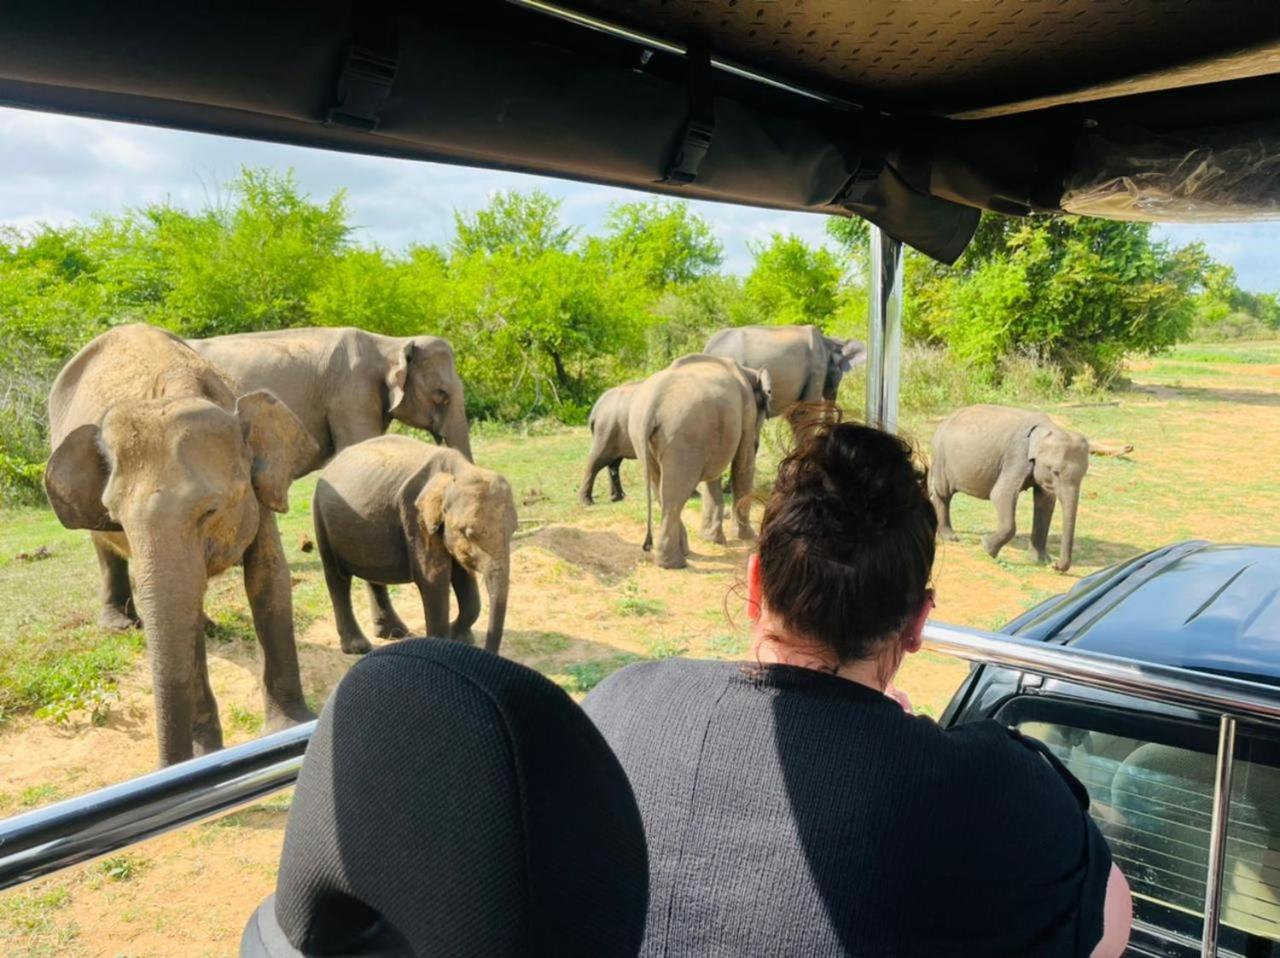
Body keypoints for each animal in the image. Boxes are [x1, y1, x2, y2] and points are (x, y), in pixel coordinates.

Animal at [45, 325, 317, 768]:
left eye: (211, 510)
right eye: (117, 517)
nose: (169, 766)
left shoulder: (259, 493)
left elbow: (268, 578)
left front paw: (290, 726)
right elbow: (182, 614)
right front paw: (208, 752)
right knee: (104, 550)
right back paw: (120, 626)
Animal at [312, 438, 517, 655]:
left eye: (514, 530)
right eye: (468, 533)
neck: (456, 471)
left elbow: (464, 577)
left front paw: (460, 639)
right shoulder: (415, 517)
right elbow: (433, 578)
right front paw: (443, 644)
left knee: (372, 575)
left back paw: (395, 633)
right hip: (320, 518)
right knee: (337, 577)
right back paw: (358, 647)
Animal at [629, 358, 768, 568]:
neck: (747, 370)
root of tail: (653, 403)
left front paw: (712, 539)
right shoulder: (748, 410)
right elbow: (743, 464)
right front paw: (749, 537)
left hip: (641, 436)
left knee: (660, 487)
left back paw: (682, 554)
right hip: (683, 436)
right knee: (675, 495)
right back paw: (674, 563)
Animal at [931, 402, 1090, 573]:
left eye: (1083, 475)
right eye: (1055, 472)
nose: (1055, 565)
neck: (1048, 428)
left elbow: (1045, 503)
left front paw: (1041, 560)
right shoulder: (1017, 457)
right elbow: (1000, 494)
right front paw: (986, 546)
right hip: (941, 456)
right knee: (943, 493)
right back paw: (950, 537)